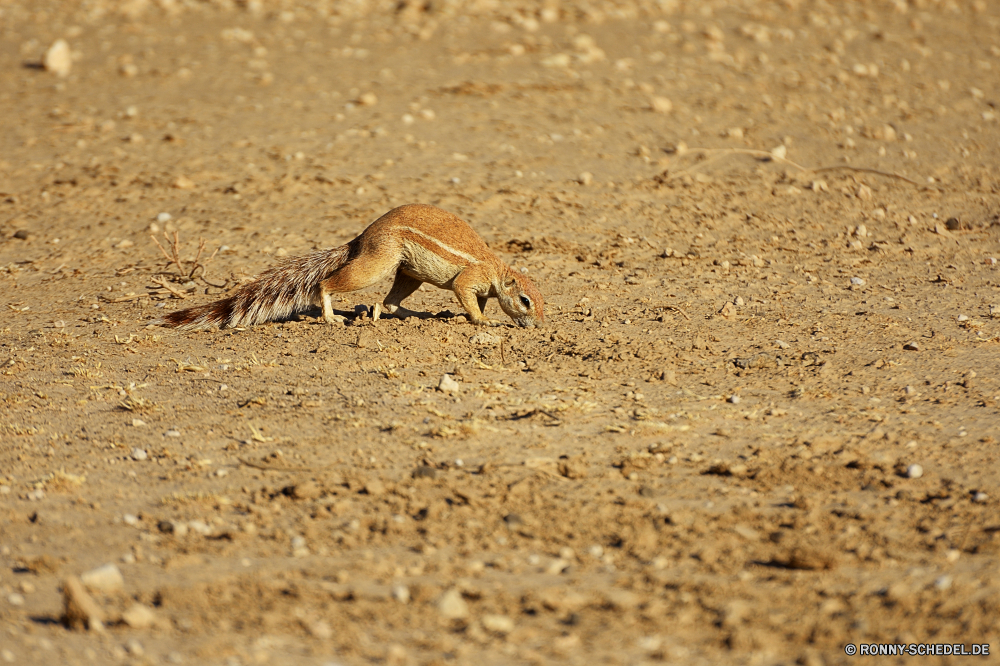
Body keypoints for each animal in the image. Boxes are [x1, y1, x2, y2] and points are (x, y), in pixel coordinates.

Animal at [155, 201, 544, 328]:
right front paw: (484, 322)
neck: (498, 271)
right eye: (525, 301)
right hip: (378, 263)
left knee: (390, 303)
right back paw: (332, 317)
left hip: (407, 272)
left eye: (543, 301)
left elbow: (476, 301)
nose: (538, 326)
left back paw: (410, 315)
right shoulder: (470, 279)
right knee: (326, 284)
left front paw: (475, 315)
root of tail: (363, 237)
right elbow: (467, 296)